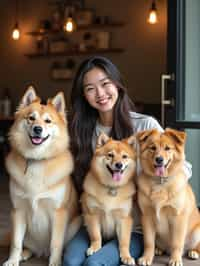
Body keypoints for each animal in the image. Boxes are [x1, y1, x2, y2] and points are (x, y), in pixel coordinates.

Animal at [3, 87, 81, 266]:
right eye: (31, 118)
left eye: (48, 121)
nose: (37, 129)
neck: (37, 160)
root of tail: (41, 252)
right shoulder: (18, 211)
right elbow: (16, 242)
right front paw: (12, 260)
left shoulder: (58, 212)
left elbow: (56, 243)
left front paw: (55, 262)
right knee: (27, 246)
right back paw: (24, 254)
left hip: (75, 224)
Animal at [80, 134, 137, 264]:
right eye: (110, 155)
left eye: (124, 156)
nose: (119, 164)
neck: (111, 186)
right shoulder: (93, 215)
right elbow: (96, 235)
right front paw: (95, 247)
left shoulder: (124, 219)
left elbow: (124, 241)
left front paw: (126, 255)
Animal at [137, 128, 199, 264]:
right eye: (152, 148)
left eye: (167, 148)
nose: (159, 159)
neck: (160, 182)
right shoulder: (147, 216)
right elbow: (148, 242)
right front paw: (147, 257)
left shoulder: (178, 217)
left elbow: (177, 243)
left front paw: (175, 260)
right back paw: (158, 249)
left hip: (197, 232)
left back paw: (194, 252)